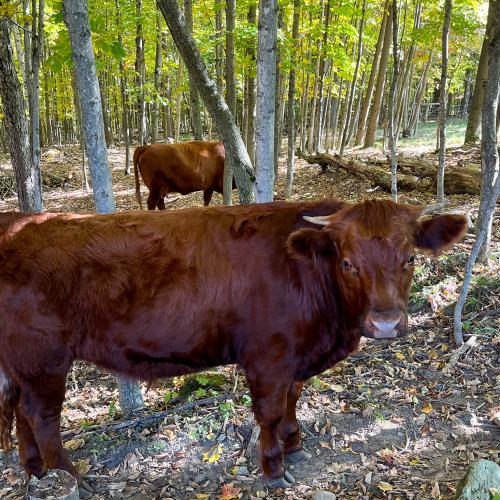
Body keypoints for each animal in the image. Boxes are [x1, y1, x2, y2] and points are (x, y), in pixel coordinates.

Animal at [0, 200, 468, 488]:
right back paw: (74, 478)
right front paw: (273, 468)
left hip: (23, 363)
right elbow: (270, 412)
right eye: (348, 262)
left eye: (410, 258)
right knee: (41, 417)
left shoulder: (295, 357)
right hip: (44, 357)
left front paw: (295, 445)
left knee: (20, 412)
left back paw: (36, 471)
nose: (386, 323)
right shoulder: (268, 356)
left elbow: (293, 400)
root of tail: (17, 221)